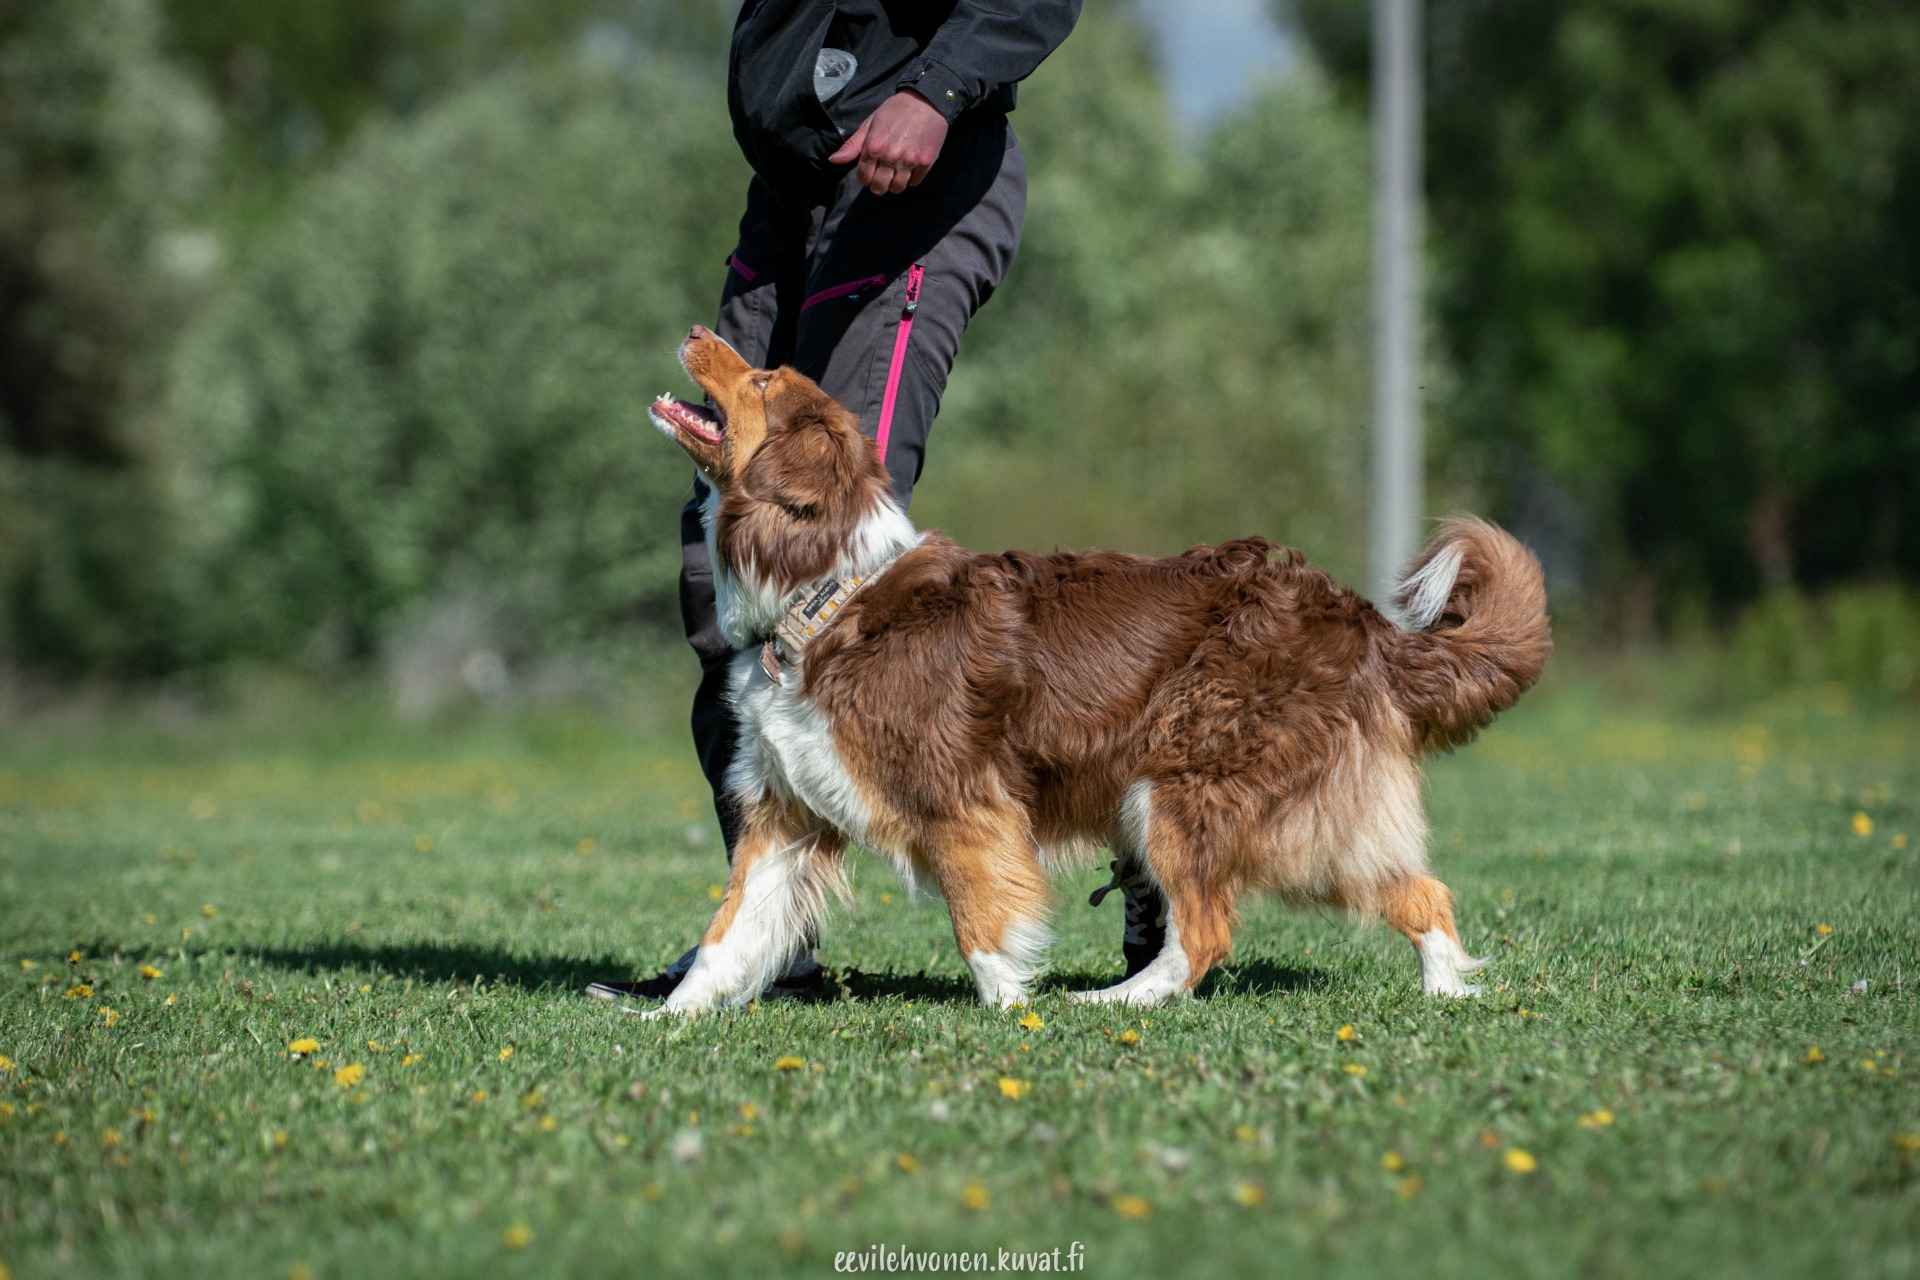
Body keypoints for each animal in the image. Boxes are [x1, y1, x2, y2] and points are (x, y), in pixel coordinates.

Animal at [646, 326, 1549, 1015]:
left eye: (762, 377)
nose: (693, 330)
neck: (825, 594)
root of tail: (1355, 615)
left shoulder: (963, 801)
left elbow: (980, 918)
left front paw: (1010, 1010)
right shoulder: (784, 813)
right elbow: (730, 931)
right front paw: (668, 1018)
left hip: (1180, 785)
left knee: (1207, 929)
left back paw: (1120, 1001)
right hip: (1287, 810)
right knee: (1419, 890)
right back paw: (1446, 990)